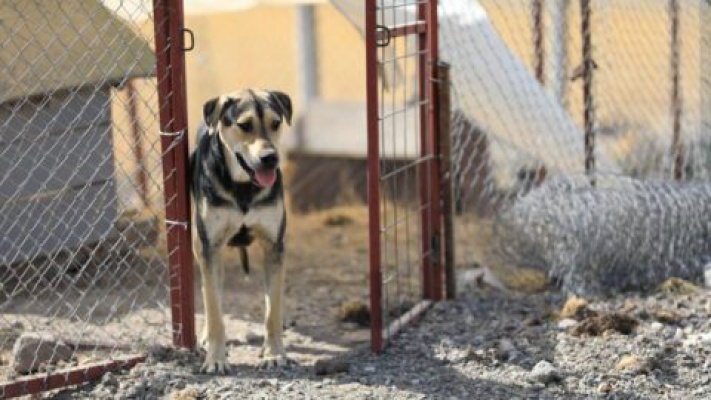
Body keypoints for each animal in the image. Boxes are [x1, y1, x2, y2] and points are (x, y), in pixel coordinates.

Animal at [189, 89, 294, 374]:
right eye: (244, 125)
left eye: (275, 123)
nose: (270, 158)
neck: (244, 187)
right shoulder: (209, 248)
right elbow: (213, 308)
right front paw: (215, 358)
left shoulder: (274, 246)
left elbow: (273, 310)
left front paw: (274, 354)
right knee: (212, 292)